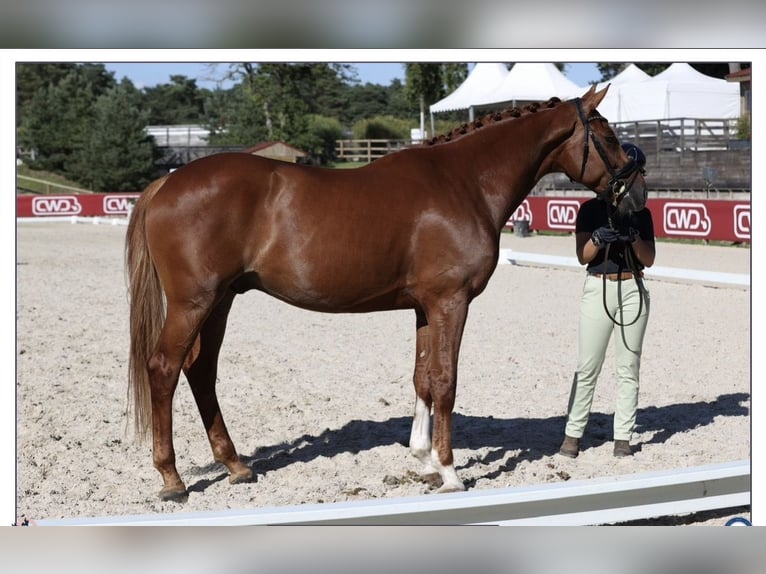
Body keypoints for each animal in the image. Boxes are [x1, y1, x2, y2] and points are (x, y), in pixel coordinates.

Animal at [125, 85, 647, 501]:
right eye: (608, 136)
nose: (637, 196)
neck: (466, 182)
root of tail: (167, 182)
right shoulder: (451, 302)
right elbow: (445, 381)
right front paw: (450, 472)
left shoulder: (424, 307)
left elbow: (422, 379)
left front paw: (423, 459)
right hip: (194, 303)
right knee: (165, 368)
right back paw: (172, 479)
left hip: (221, 301)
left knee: (200, 371)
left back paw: (235, 466)